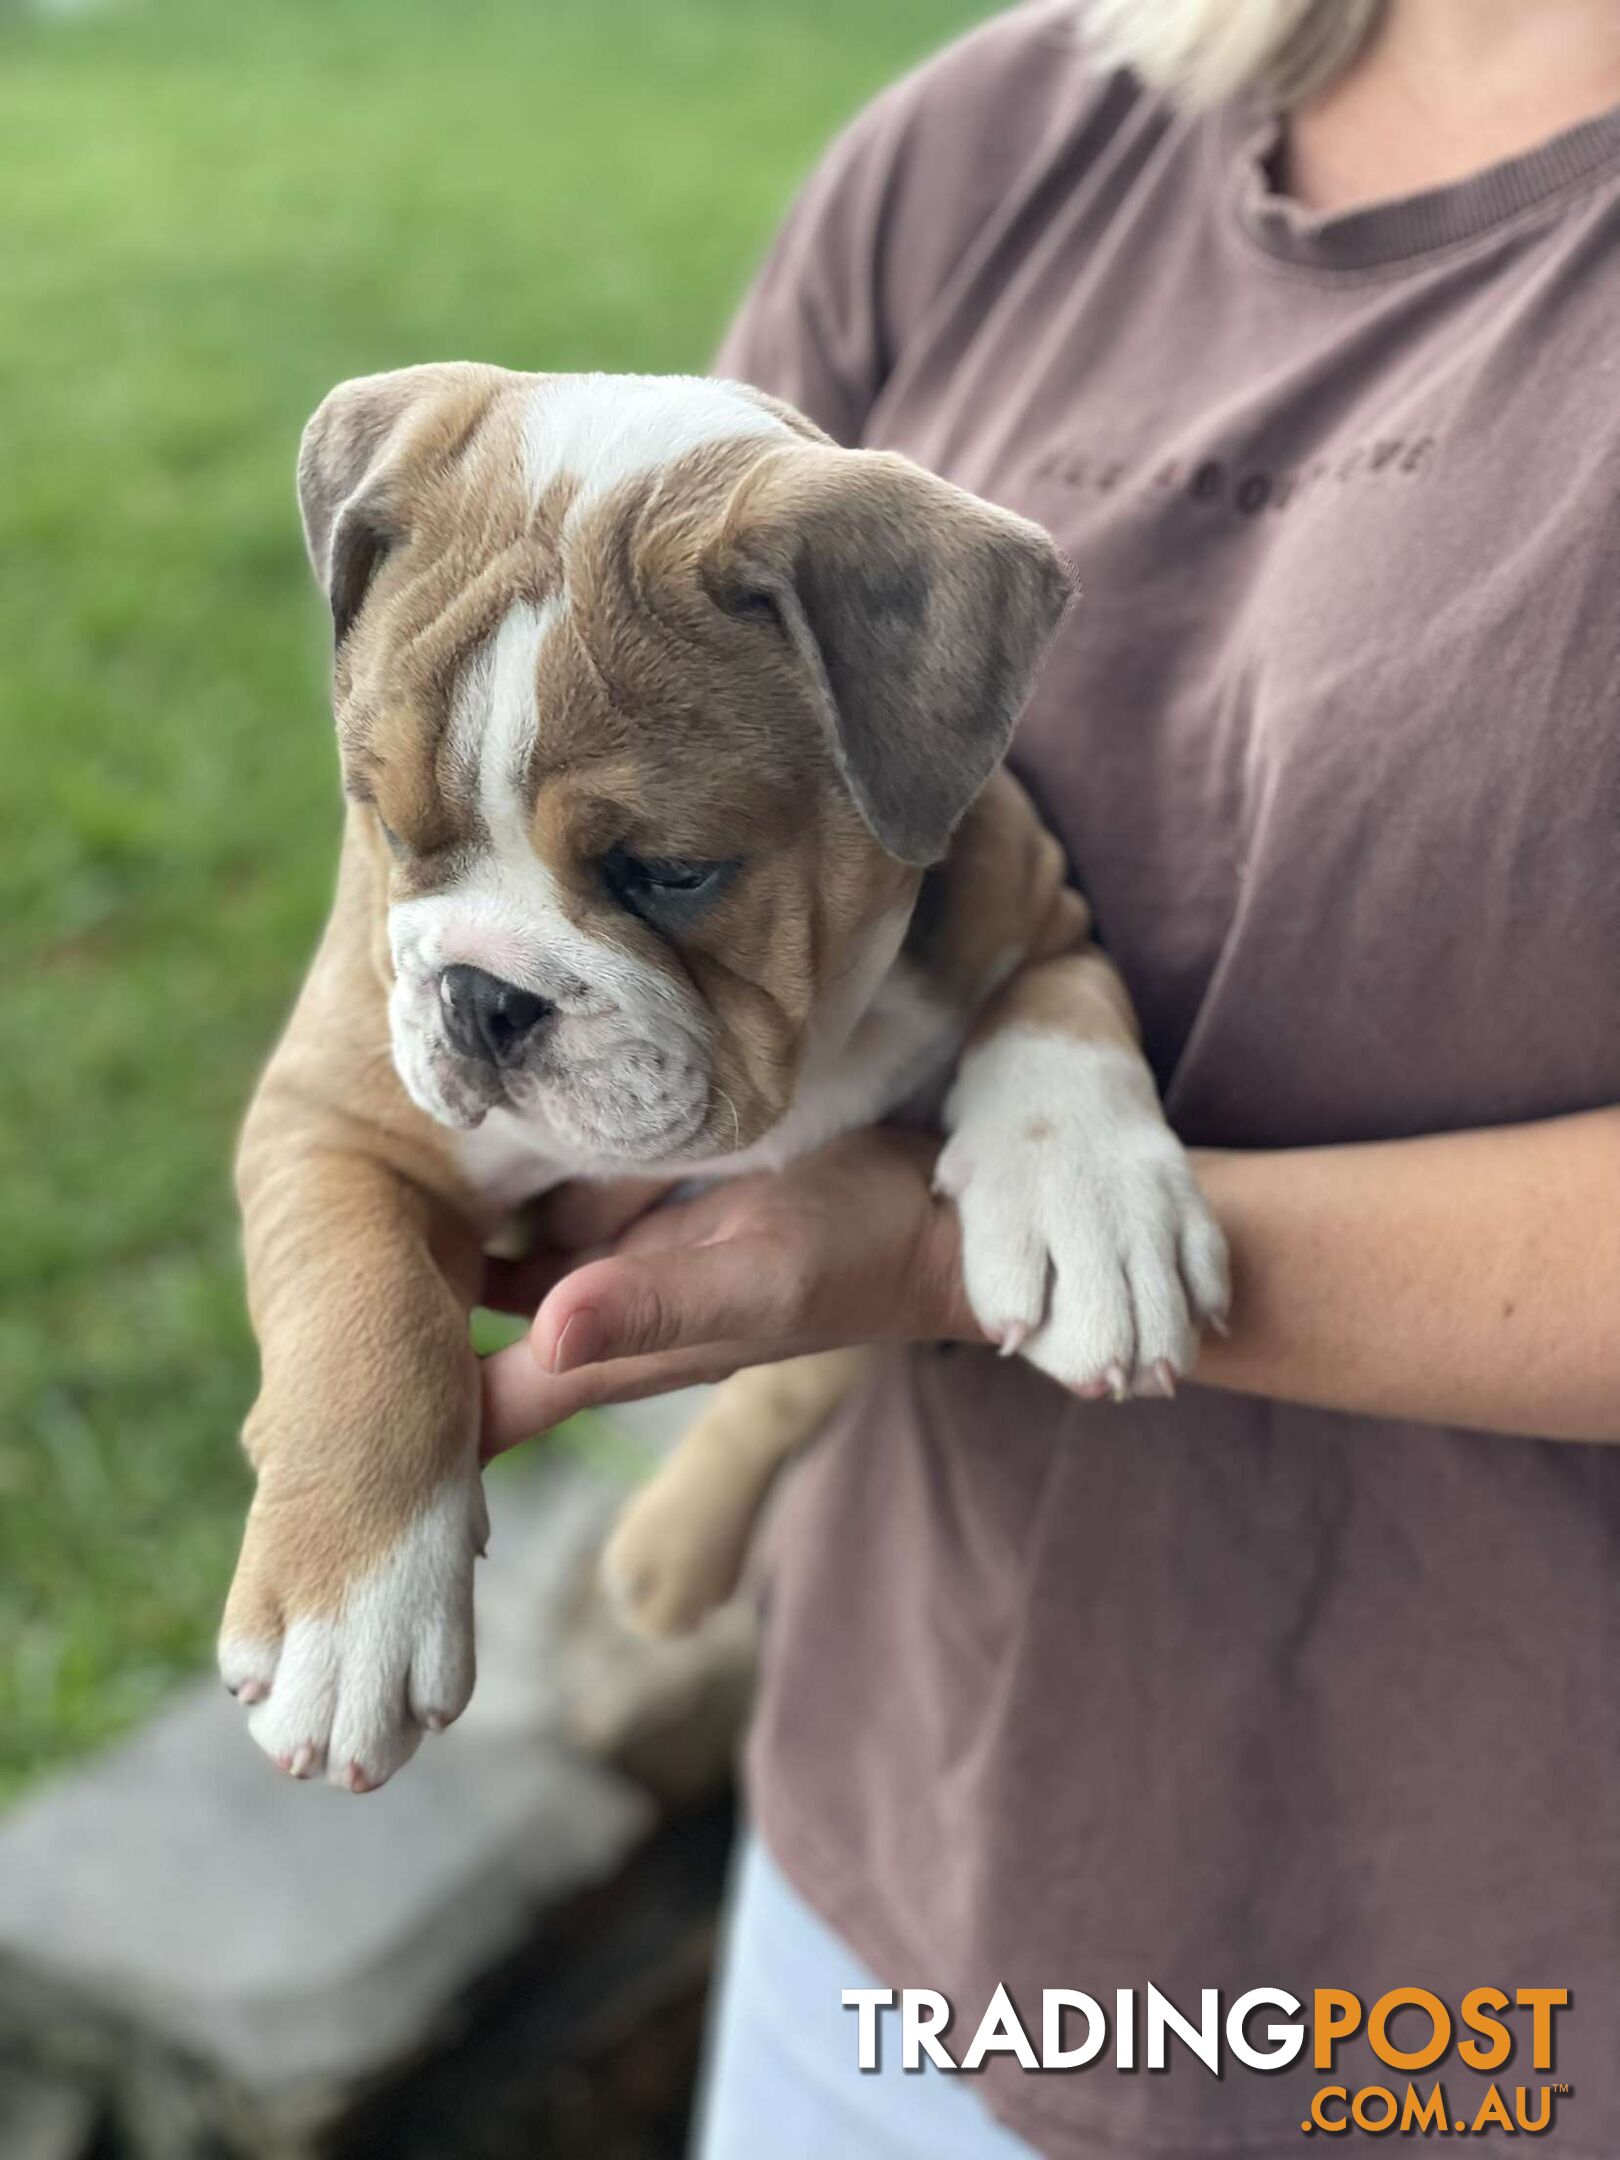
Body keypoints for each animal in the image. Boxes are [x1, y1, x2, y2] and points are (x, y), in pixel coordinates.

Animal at [222, 367, 1226, 1788]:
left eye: (672, 872)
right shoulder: (334, 1115)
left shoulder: (1040, 914)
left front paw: (1095, 1220)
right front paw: (349, 1615)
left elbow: (1059, 1024)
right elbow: (362, 1310)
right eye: (390, 825)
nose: (482, 996)